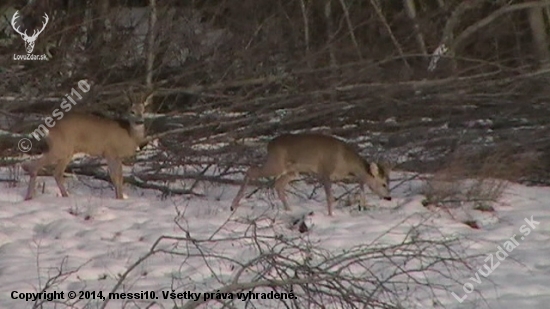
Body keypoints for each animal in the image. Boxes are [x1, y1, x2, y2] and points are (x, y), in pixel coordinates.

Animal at [21, 91, 152, 200]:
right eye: (132, 111)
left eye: (143, 111)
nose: (140, 122)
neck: (130, 135)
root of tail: (50, 128)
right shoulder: (111, 151)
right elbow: (117, 176)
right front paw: (120, 198)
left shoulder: (111, 155)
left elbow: (116, 177)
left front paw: (118, 197)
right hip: (60, 148)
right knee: (35, 165)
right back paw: (29, 196)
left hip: (67, 151)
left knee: (57, 173)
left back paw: (65, 196)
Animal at [231, 134, 394, 215]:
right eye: (384, 183)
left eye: (389, 182)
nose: (389, 197)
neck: (346, 162)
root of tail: (269, 144)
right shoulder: (325, 171)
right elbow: (329, 197)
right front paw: (330, 215)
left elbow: (361, 185)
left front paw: (363, 205)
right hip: (276, 164)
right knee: (251, 170)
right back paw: (234, 205)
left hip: (293, 171)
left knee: (278, 184)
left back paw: (289, 210)